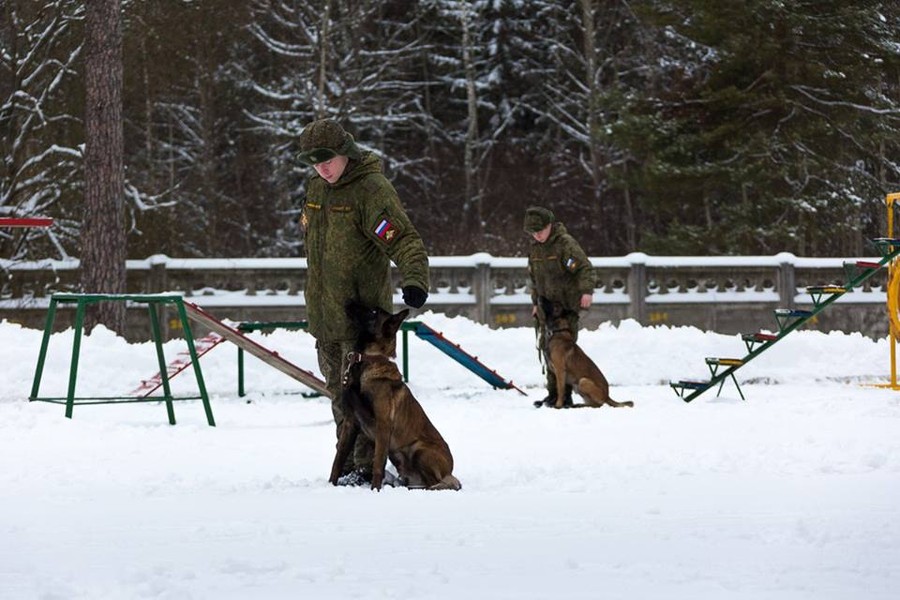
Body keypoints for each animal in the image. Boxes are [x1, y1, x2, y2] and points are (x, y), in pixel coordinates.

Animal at [326, 302, 460, 490]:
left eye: (374, 312)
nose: (349, 302)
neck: (369, 360)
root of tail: (450, 469)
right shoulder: (350, 423)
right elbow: (337, 460)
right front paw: (330, 485)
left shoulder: (383, 424)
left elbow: (377, 463)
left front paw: (375, 490)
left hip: (419, 450)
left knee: (438, 482)